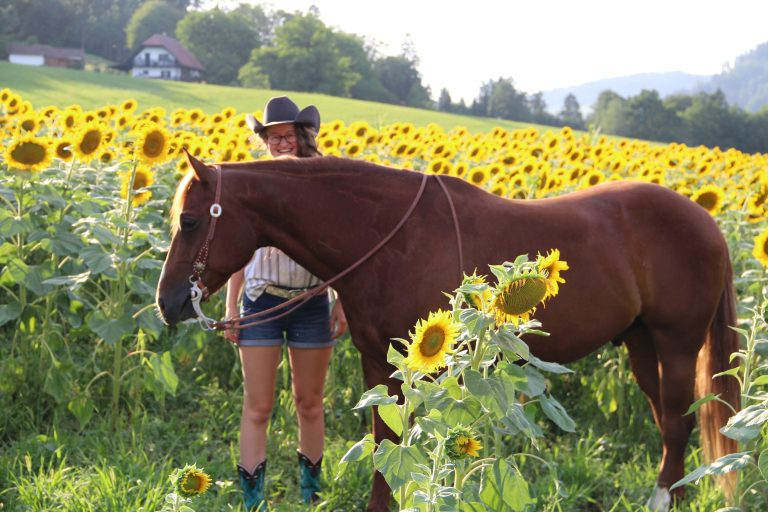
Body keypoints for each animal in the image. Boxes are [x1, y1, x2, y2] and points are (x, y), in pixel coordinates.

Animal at [155, 153, 738, 512]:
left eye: (190, 221)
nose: (167, 303)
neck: (393, 238)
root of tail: (706, 222)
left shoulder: (428, 369)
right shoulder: (381, 363)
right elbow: (386, 446)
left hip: (677, 345)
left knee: (678, 422)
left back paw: (664, 498)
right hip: (642, 344)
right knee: (669, 421)